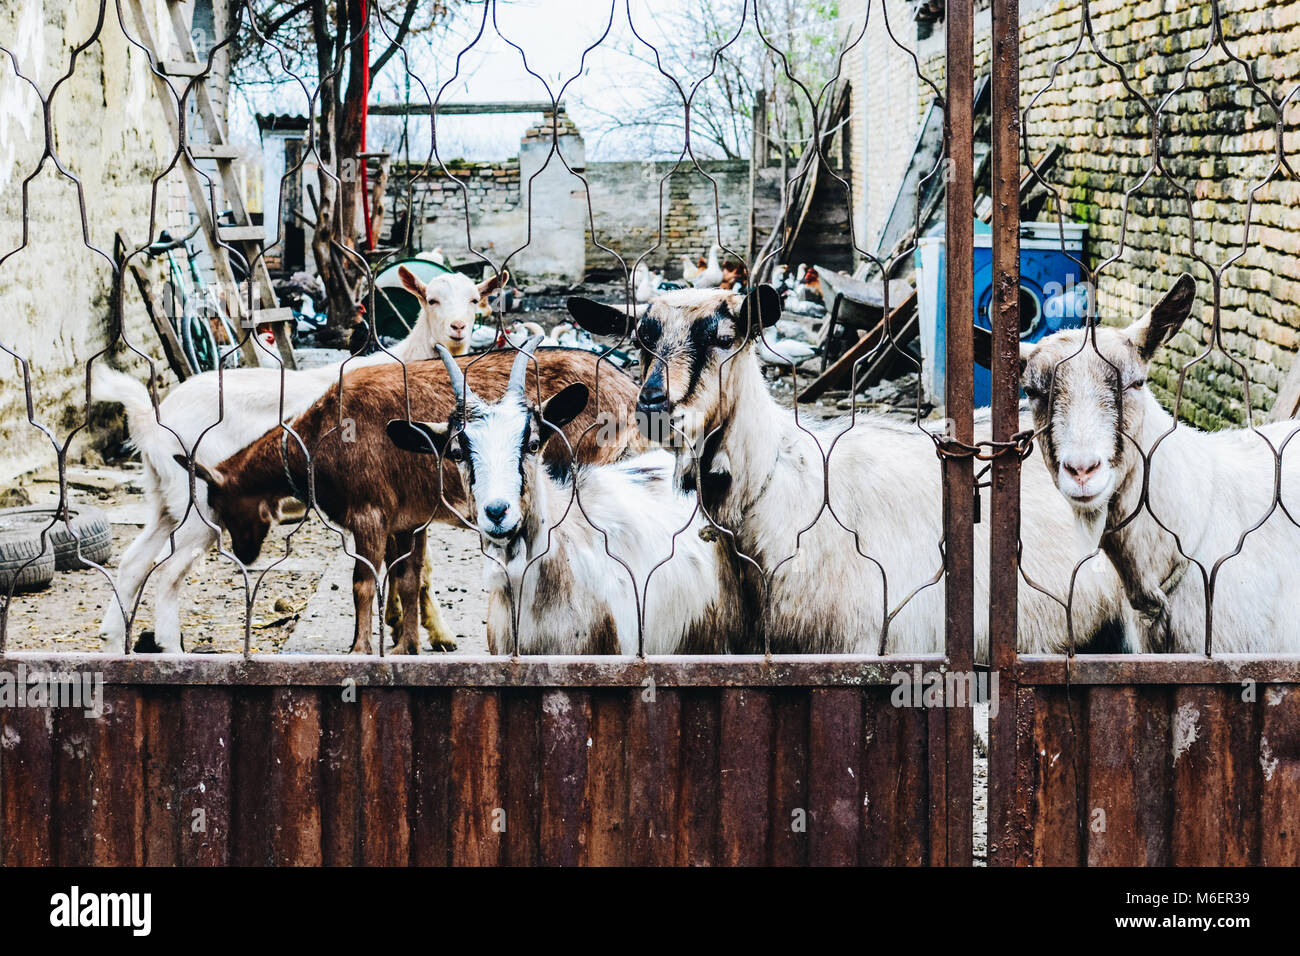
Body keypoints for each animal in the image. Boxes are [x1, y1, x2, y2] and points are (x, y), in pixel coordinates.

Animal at [91, 265, 504, 655]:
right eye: (431, 299)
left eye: (474, 299)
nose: (457, 328)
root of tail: (150, 418)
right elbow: (417, 567)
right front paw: (435, 632)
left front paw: (401, 624)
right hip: (198, 506)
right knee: (169, 571)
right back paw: (170, 647)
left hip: (166, 498)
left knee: (133, 562)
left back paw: (112, 641)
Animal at [180, 348, 647, 655]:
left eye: (221, 504)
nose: (244, 553)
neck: (317, 441)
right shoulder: (406, 518)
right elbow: (406, 578)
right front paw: (407, 644)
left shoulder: (369, 512)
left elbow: (364, 582)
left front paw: (361, 648)